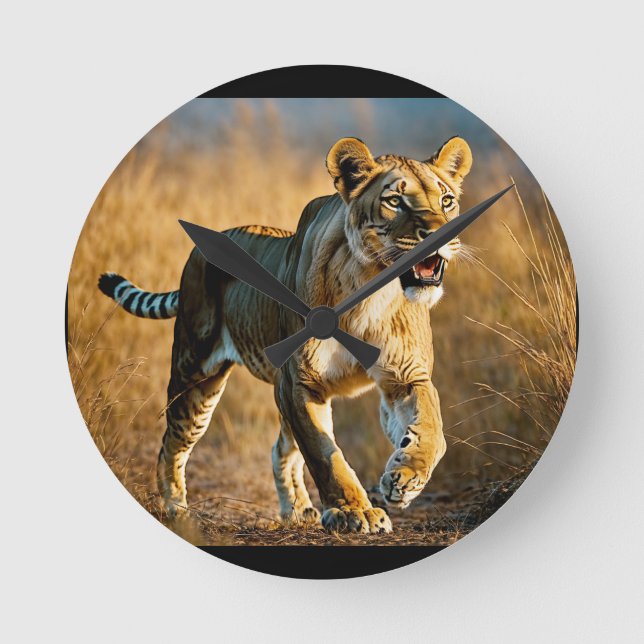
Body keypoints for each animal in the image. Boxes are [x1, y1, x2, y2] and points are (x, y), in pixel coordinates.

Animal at [98, 136, 473, 533]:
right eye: (395, 201)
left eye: (446, 200)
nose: (441, 235)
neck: (370, 286)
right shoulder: (300, 382)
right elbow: (325, 455)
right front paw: (354, 511)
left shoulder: (404, 376)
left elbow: (432, 428)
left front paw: (403, 480)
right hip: (196, 375)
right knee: (172, 442)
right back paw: (176, 510)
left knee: (280, 448)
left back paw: (298, 509)